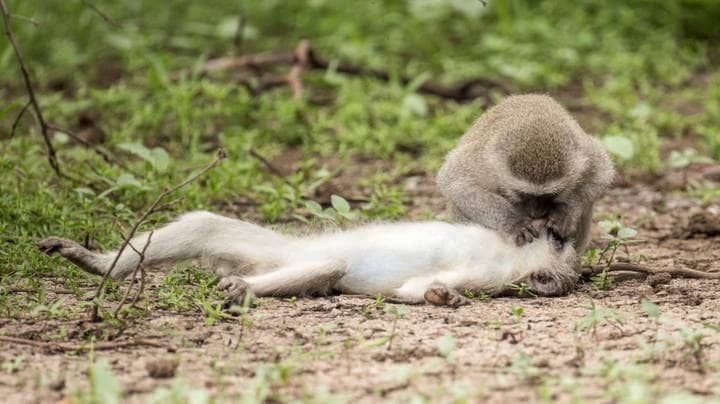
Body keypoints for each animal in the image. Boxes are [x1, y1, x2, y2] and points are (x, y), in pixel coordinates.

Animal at [436, 94, 616, 252]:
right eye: (522, 193)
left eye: (551, 195)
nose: (536, 213)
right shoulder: (484, 162)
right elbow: (454, 181)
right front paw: (514, 222)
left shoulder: (584, 152)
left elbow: (602, 173)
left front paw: (565, 212)